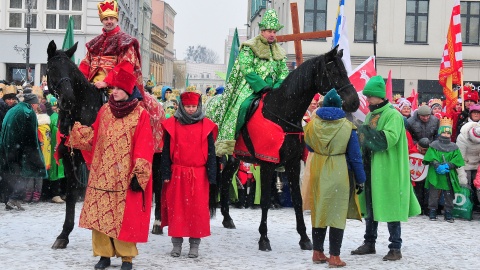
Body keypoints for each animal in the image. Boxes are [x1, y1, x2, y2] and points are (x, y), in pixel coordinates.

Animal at [46, 40, 105, 249]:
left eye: (71, 70)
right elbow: (71, 194)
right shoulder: (68, 159)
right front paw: (64, 234)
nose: (68, 100)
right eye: (52, 68)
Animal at [211, 46, 360, 251]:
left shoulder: (292, 164)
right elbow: (265, 200)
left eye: (344, 71)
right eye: (333, 72)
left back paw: (227, 218)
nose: (355, 102)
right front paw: (264, 239)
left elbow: (297, 199)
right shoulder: (267, 164)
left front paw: (304, 238)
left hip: (234, 157)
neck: (281, 114)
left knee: (225, 178)